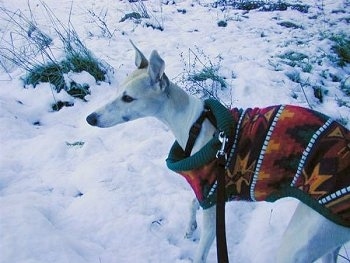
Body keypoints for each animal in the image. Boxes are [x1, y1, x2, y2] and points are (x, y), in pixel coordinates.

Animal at [87, 42, 350, 262]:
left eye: (128, 98)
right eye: (118, 92)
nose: (90, 118)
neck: (194, 123)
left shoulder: (212, 202)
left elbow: (200, 253)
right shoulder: (210, 193)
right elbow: (192, 202)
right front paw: (189, 227)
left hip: (302, 240)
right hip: (328, 240)